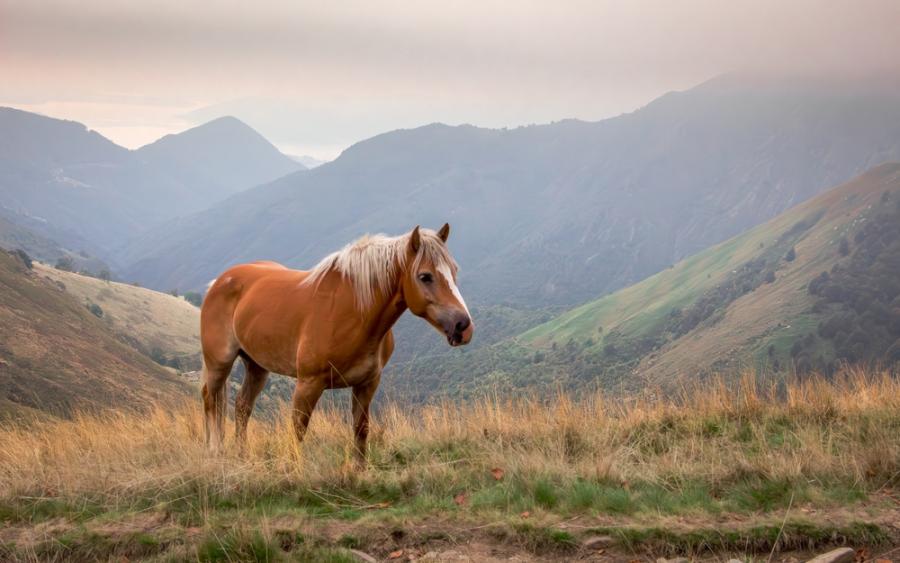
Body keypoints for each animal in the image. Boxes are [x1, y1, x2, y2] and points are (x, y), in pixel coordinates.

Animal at [200, 225, 474, 462]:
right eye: (425, 276)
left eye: (454, 271)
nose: (463, 326)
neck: (351, 310)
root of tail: (220, 281)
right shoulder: (308, 384)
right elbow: (298, 431)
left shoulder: (367, 384)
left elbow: (361, 430)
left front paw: (358, 472)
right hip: (219, 364)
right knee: (210, 401)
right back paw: (214, 451)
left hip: (257, 367)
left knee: (242, 407)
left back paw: (242, 455)